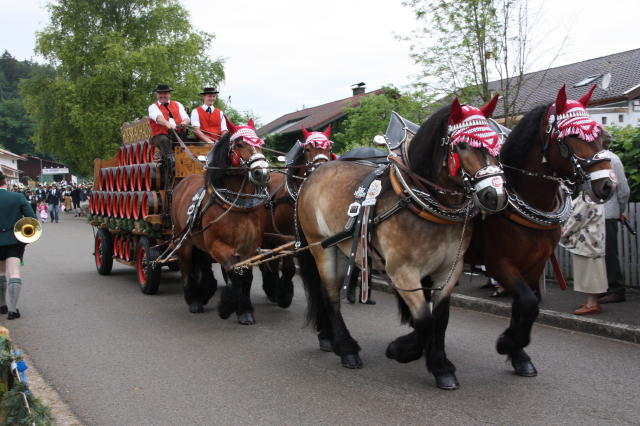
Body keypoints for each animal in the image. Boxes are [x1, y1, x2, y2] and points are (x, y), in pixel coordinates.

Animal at [170, 118, 271, 325]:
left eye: (260, 143)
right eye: (239, 144)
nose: (262, 173)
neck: (238, 206)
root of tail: (182, 182)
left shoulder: (250, 247)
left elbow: (246, 276)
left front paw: (245, 311)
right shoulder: (218, 245)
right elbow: (234, 271)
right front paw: (226, 306)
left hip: (199, 241)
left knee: (202, 264)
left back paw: (205, 291)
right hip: (184, 241)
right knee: (186, 266)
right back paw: (193, 300)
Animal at [296, 96, 508, 390]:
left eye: (496, 144)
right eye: (463, 145)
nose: (495, 195)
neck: (419, 201)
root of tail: (312, 176)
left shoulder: (450, 270)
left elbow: (440, 319)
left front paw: (440, 365)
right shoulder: (402, 272)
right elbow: (425, 321)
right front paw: (400, 350)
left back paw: (329, 338)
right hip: (321, 249)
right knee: (330, 297)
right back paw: (346, 348)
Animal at [466, 85, 616, 376]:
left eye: (602, 137)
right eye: (573, 136)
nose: (607, 185)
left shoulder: (535, 262)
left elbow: (528, 305)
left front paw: (519, 355)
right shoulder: (499, 262)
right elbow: (527, 302)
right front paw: (507, 344)